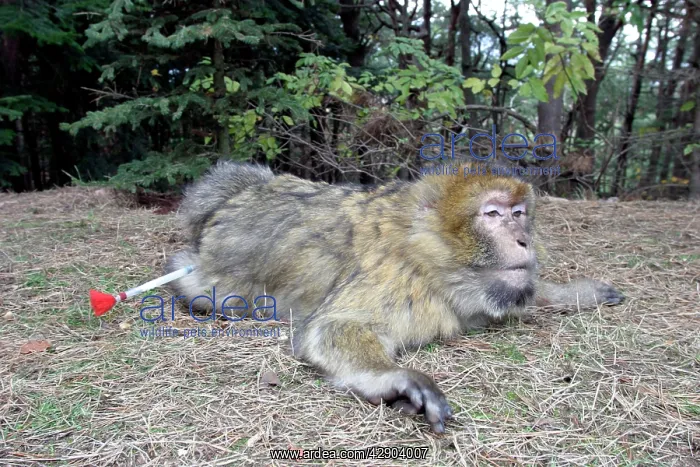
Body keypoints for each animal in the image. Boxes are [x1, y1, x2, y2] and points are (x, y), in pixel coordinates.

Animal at [165, 161, 624, 433]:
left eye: (519, 213)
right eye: (492, 214)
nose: (523, 239)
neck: (431, 261)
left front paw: (577, 291)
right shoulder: (395, 278)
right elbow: (333, 327)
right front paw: (396, 381)